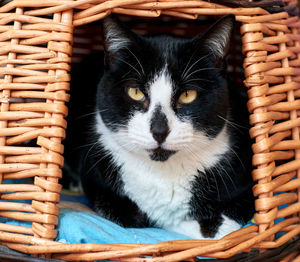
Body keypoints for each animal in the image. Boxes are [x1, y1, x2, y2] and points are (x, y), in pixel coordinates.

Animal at [63, 14, 255, 239]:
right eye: (135, 92)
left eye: (187, 95)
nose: (159, 131)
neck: (162, 173)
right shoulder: (97, 177)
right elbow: (138, 217)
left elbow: (223, 227)